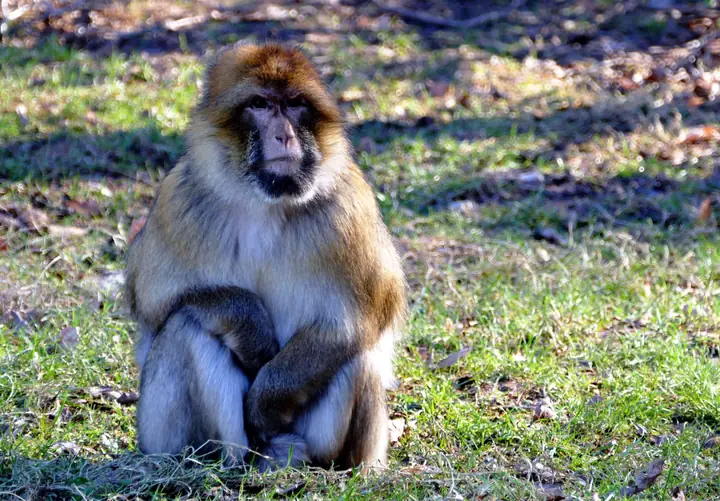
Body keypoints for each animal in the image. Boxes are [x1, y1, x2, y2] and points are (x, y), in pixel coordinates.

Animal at [125, 42, 407, 470]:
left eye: (294, 104)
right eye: (259, 104)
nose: (283, 134)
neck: (265, 202)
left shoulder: (349, 208)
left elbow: (350, 323)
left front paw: (265, 402)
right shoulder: (179, 201)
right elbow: (156, 302)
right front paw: (251, 327)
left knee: (356, 351)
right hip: (163, 436)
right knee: (186, 325)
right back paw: (226, 461)